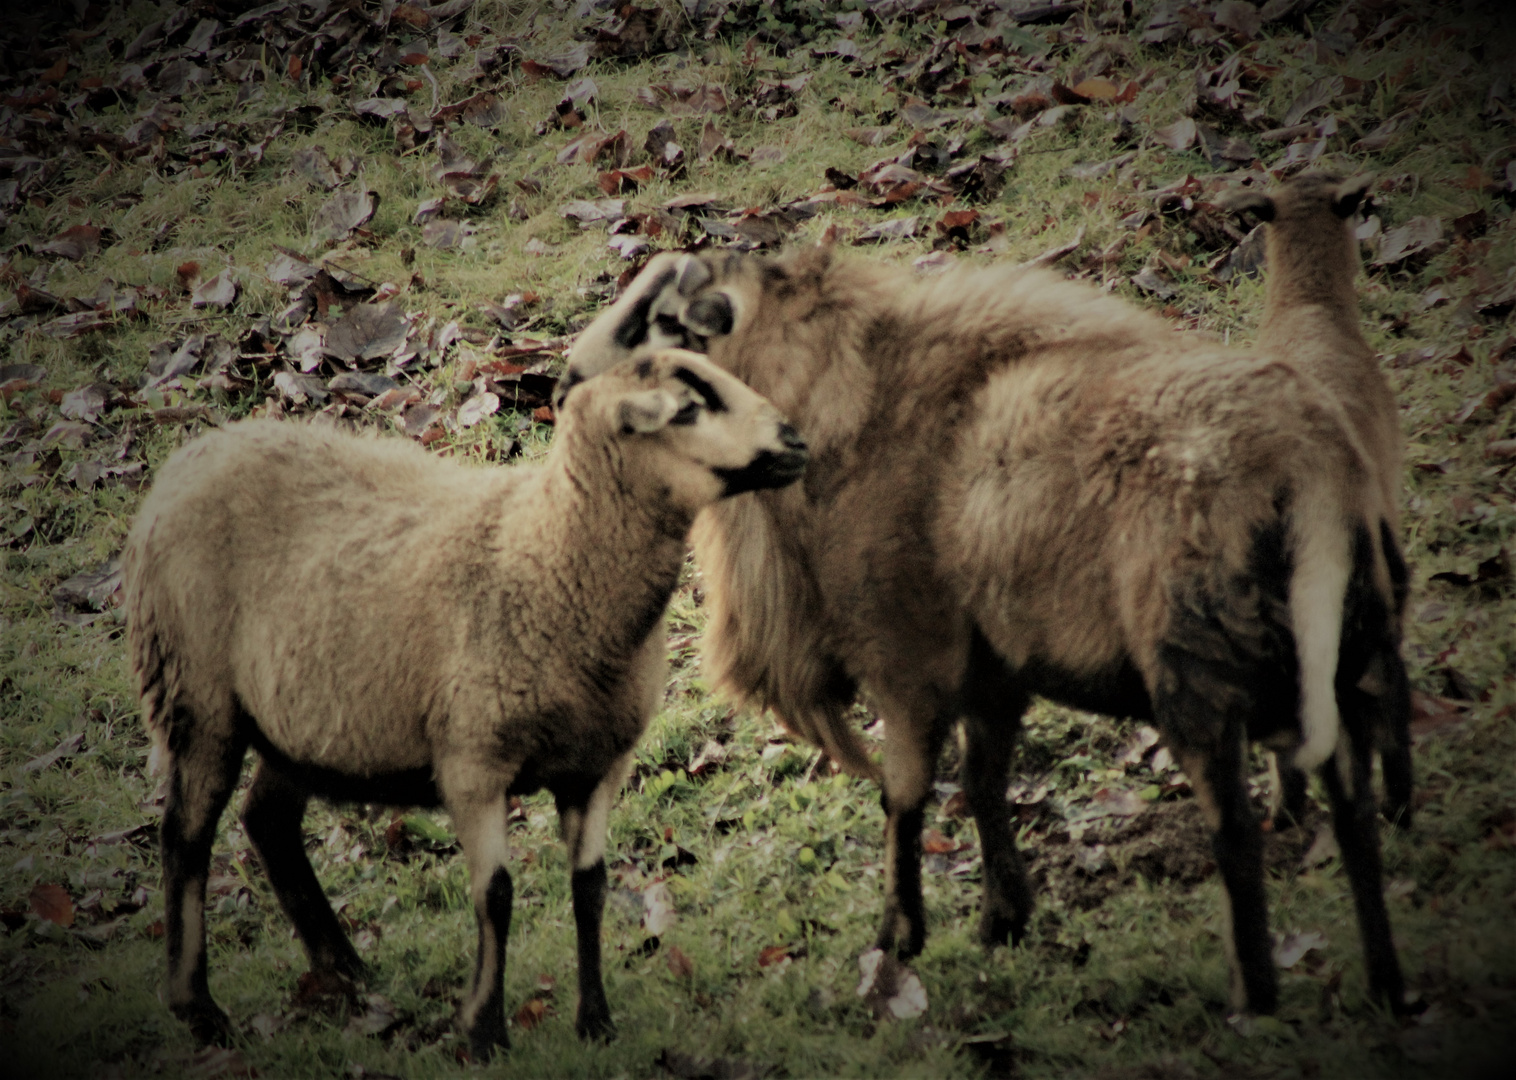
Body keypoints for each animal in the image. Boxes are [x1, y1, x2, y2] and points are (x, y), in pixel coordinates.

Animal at [124, 350, 812, 1061]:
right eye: (687, 409)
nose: (796, 444)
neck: (552, 549)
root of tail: (195, 453)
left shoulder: (597, 765)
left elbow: (590, 888)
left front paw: (596, 1023)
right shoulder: (473, 760)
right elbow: (496, 896)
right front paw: (483, 1030)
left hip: (303, 719)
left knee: (268, 821)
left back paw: (344, 967)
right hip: (194, 690)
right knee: (186, 836)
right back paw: (199, 1008)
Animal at [563, 210, 1412, 1013]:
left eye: (658, 323)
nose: (564, 382)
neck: (839, 393)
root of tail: (1308, 469)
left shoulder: (906, 653)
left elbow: (904, 795)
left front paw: (898, 936)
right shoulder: (993, 664)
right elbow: (983, 779)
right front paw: (1004, 917)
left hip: (1194, 677)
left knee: (1234, 831)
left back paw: (1252, 995)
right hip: (1340, 656)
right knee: (1356, 814)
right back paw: (1381, 985)